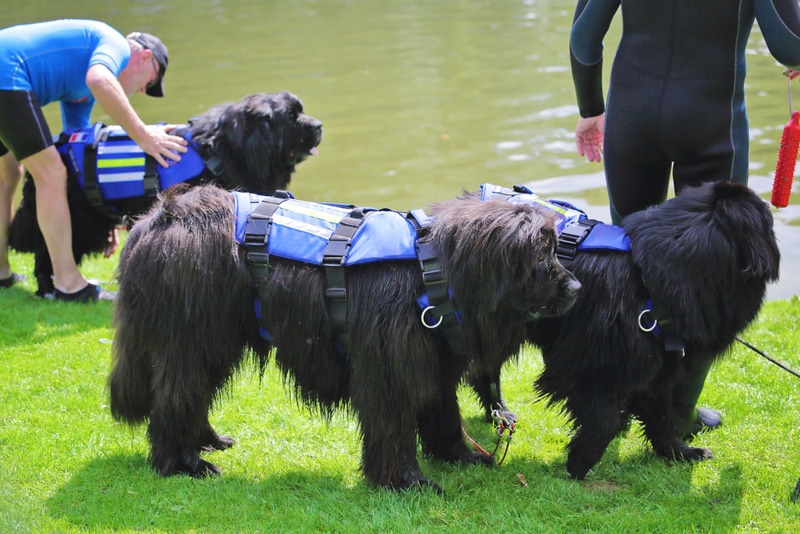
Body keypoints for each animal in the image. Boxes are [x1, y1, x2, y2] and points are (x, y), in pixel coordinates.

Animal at [7, 90, 322, 296]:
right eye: (291, 117)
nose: (319, 125)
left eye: (302, 111)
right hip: (75, 216)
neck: (232, 146)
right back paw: (52, 290)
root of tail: (59, 144)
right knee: (47, 251)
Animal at [108, 185, 580, 494]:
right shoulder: (388, 368)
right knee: (175, 394)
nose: (576, 288)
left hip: (213, 338)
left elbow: (444, 415)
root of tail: (153, 221)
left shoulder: (432, 360)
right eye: (543, 255)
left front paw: (462, 457)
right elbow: (393, 427)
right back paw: (183, 464)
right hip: (192, 333)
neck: (431, 268)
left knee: (191, 391)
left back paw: (206, 439)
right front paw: (406, 482)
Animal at [528, 183, 780, 482]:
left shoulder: (659, 363)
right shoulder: (580, 367)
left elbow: (661, 415)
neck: (645, 281)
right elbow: (605, 420)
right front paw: (579, 463)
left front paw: (680, 452)